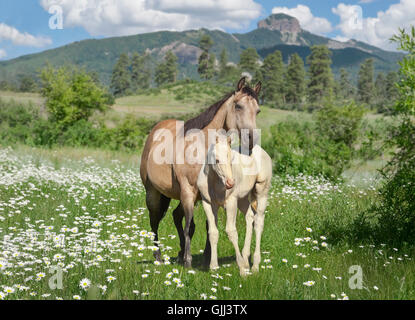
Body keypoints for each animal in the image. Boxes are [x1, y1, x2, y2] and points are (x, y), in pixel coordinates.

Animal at [141, 77, 262, 268]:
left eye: (257, 110)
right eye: (238, 106)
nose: (251, 139)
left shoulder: (209, 195)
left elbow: (209, 225)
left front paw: (207, 258)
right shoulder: (188, 191)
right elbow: (190, 227)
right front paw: (188, 261)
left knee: (176, 216)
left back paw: (179, 253)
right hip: (154, 193)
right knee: (154, 221)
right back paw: (158, 257)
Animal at [197, 132, 272, 276]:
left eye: (231, 159)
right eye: (216, 160)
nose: (230, 183)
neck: (214, 182)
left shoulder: (231, 202)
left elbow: (231, 231)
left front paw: (241, 269)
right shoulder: (208, 203)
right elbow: (213, 233)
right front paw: (213, 267)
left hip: (261, 192)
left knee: (258, 222)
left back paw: (255, 266)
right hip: (242, 198)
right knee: (250, 216)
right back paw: (246, 259)